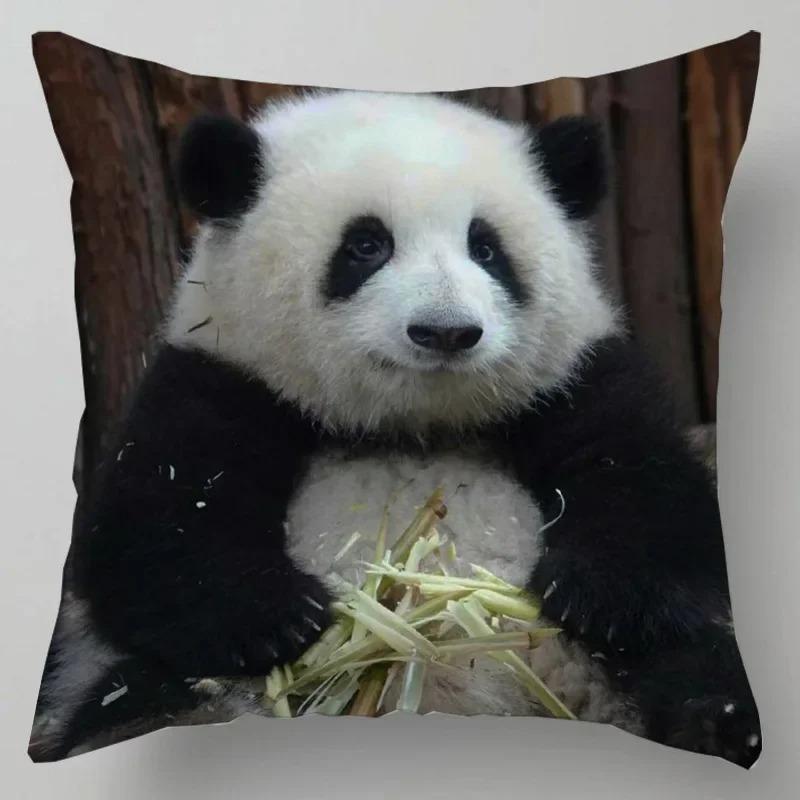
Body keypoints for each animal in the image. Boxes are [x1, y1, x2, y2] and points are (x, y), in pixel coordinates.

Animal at [32, 90, 760, 767]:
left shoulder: (574, 379)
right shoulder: (220, 380)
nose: (446, 331)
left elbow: (655, 495)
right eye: (366, 245)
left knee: (691, 665)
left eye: (486, 248)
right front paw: (278, 616)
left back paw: (719, 722)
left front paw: (596, 595)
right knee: (147, 694)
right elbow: (151, 540)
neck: (408, 426)